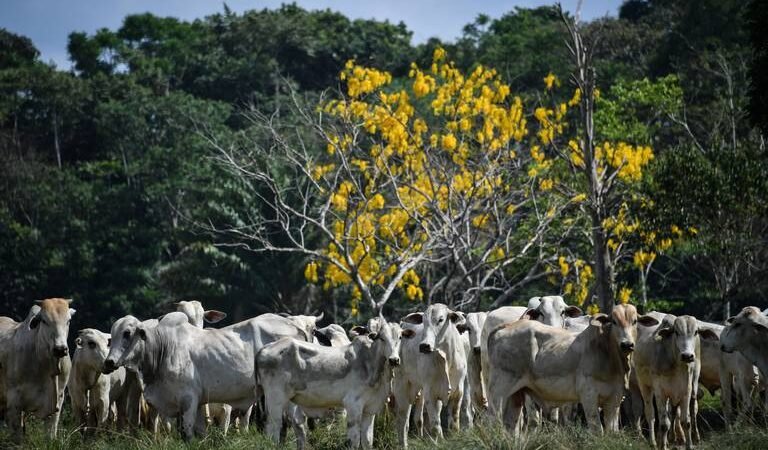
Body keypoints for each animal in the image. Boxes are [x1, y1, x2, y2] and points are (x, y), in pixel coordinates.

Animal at [257, 316, 411, 449]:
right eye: (381, 338)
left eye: (400, 337)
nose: (394, 360)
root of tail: (264, 349)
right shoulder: (353, 406)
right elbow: (354, 441)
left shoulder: (369, 410)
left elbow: (368, 441)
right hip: (275, 399)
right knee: (274, 429)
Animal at [486, 304, 658, 437]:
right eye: (614, 322)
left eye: (634, 321)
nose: (627, 344)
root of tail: (504, 328)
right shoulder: (588, 396)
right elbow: (598, 430)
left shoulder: (614, 399)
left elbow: (611, 430)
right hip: (499, 391)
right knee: (494, 420)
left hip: (516, 394)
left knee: (511, 424)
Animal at [635, 314, 718, 450]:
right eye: (677, 332)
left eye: (696, 332)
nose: (687, 356)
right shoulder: (660, 392)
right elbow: (664, 423)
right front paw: (663, 446)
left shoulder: (685, 391)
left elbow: (686, 421)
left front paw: (689, 445)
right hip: (644, 385)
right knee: (651, 414)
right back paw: (655, 441)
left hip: (693, 385)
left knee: (686, 409)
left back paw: (681, 437)